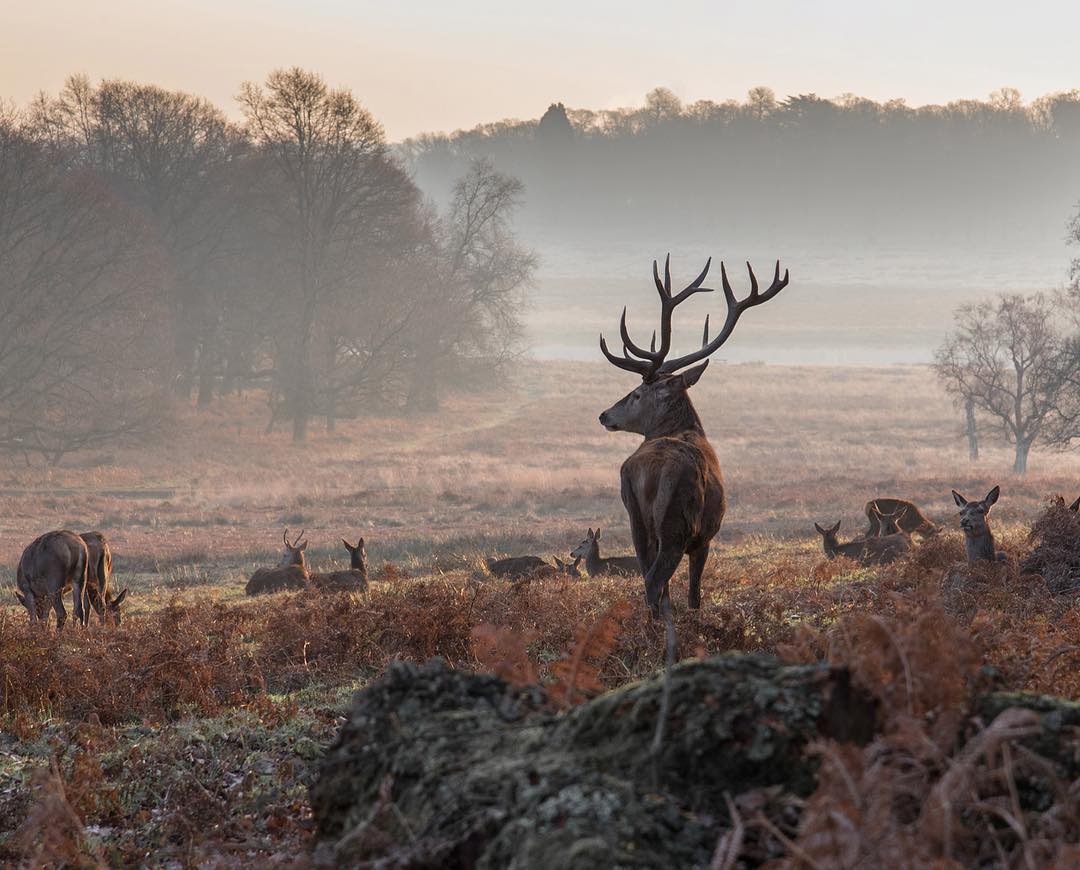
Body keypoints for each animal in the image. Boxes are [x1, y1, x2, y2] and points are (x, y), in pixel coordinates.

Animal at [596, 253, 790, 613]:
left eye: (636, 394)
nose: (604, 415)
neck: (689, 429)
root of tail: (647, 472)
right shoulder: (706, 537)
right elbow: (694, 595)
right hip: (677, 525)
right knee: (654, 579)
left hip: (637, 521)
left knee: (649, 576)